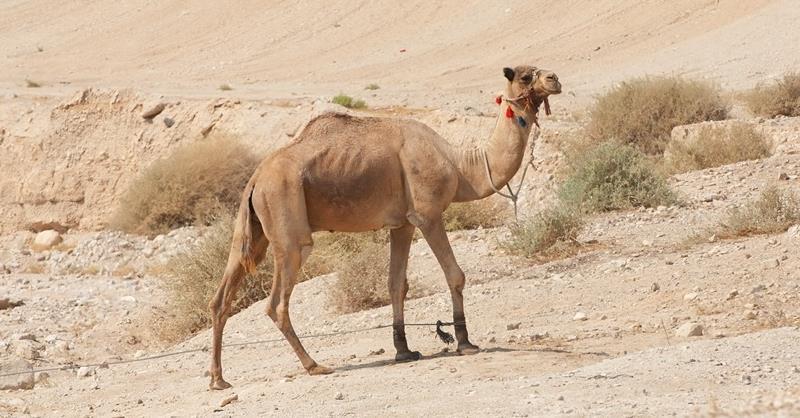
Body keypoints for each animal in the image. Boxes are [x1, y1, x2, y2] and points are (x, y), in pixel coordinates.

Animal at [209, 64, 560, 388]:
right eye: (525, 76)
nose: (554, 79)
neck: (460, 167)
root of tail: (257, 176)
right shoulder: (428, 215)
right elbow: (455, 275)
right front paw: (465, 342)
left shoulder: (401, 224)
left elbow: (396, 284)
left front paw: (403, 350)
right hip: (286, 213)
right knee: (276, 302)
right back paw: (314, 365)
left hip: (253, 227)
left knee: (222, 295)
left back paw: (218, 378)